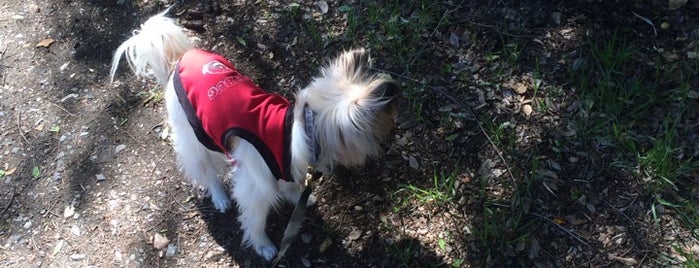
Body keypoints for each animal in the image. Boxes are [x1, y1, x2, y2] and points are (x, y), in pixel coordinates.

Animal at [113, 11, 402, 262]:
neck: (297, 130)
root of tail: (180, 58)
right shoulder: (254, 190)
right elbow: (255, 221)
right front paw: (264, 247)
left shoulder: (286, 170)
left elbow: (290, 188)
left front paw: (301, 199)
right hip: (195, 137)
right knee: (205, 171)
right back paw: (220, 198)